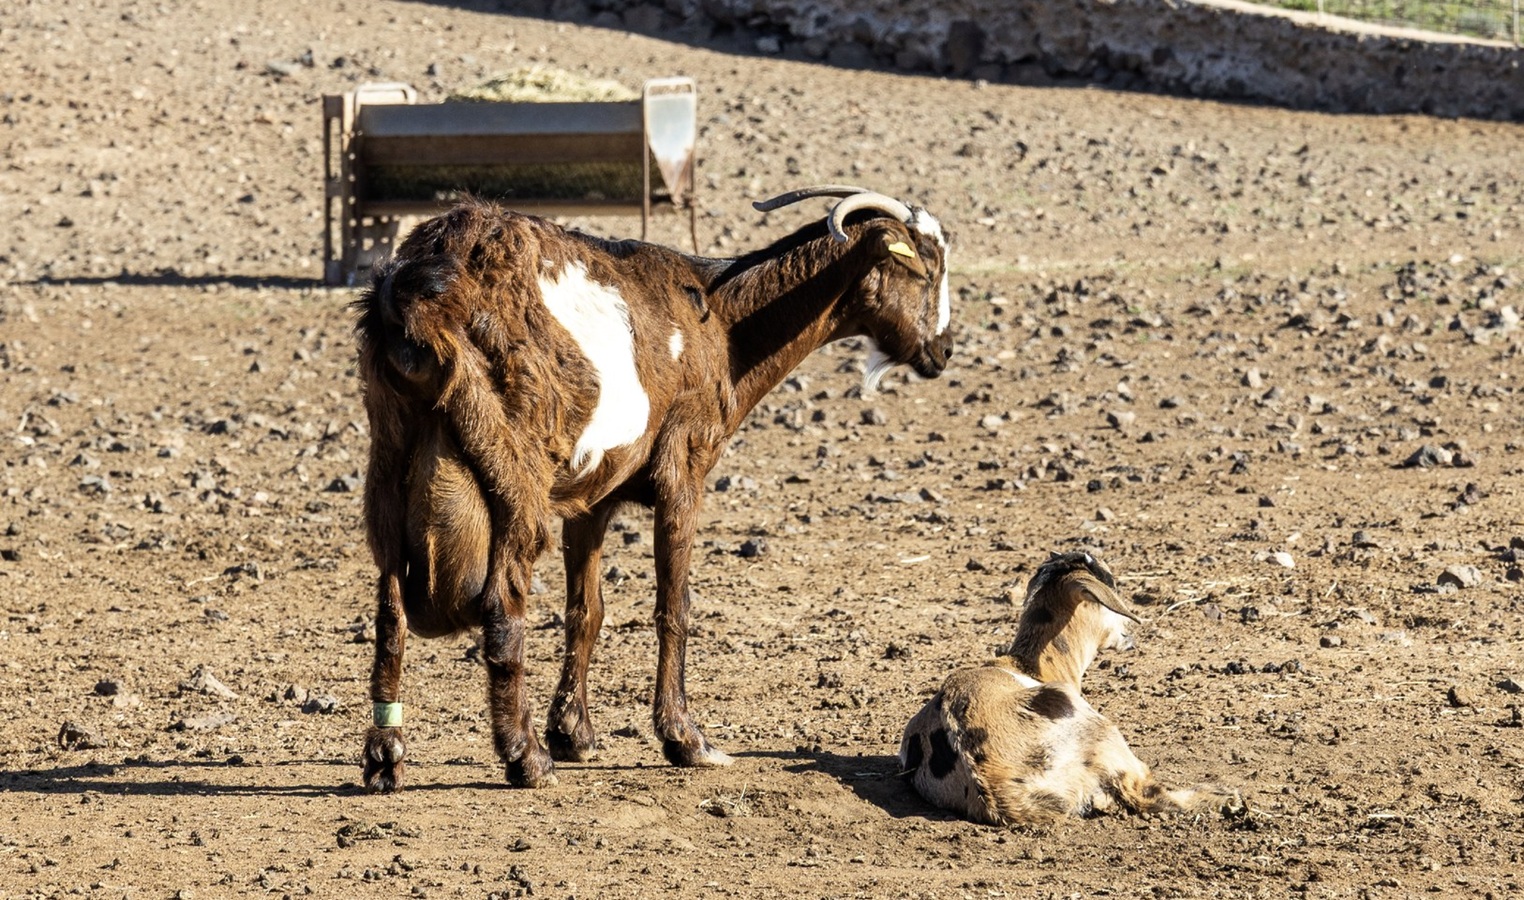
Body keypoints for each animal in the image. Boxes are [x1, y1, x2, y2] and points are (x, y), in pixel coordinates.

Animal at [353, 186, 954, 791]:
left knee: (390, 607)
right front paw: (685, 739)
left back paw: (385, 754)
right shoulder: (683, 465)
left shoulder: (593, 495)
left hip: (389, 457)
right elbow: (674, 605)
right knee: (501, 603)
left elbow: (586, 610)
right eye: (925, 270)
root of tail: (420, 299)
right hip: (512, 470)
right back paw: (525, 757)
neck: (723, 323)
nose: (943, 350)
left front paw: (573, 732)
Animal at [899, 552, 1244, 825]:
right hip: (1101, 731)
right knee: (1149, 795)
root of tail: (996, 789)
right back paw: (1227, 797)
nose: (1130, 634)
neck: (1029, 666)